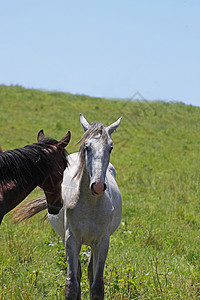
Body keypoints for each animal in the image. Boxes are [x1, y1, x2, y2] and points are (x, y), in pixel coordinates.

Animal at [48, 113, 122, 298]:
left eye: (110, 148)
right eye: (87, 147)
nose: (98, 186)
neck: (91, 204)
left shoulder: (102, 242)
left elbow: (97, 285)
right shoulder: (71, 240)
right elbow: (71, 284)